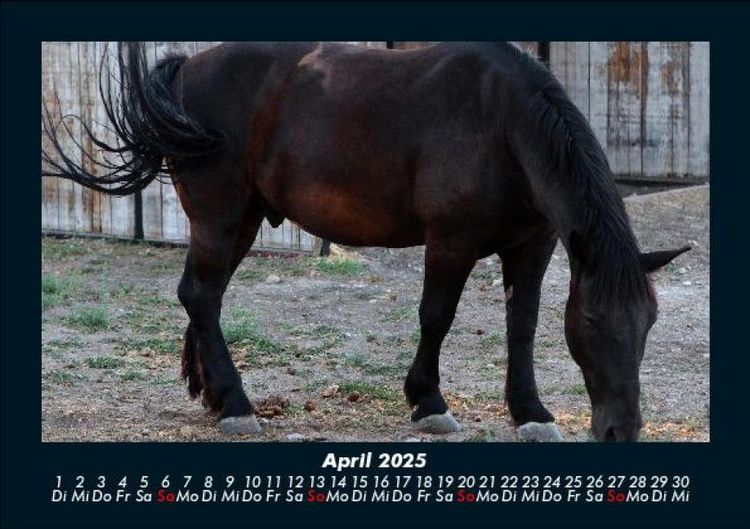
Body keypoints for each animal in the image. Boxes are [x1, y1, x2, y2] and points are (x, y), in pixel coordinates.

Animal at [42, 42, 689, 442]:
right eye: (595, 322)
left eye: (649, 323)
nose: (621, 430)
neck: (502, 124)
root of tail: (186, 71)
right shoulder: (449, 243)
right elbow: (437, 316)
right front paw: (428, 403)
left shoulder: (534, 246)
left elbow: (523, 325)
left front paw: (529, 412)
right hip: (220, 217)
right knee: (201, 296)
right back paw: (237, 406)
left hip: (241, 222)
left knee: (203, 296)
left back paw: (212, 394)